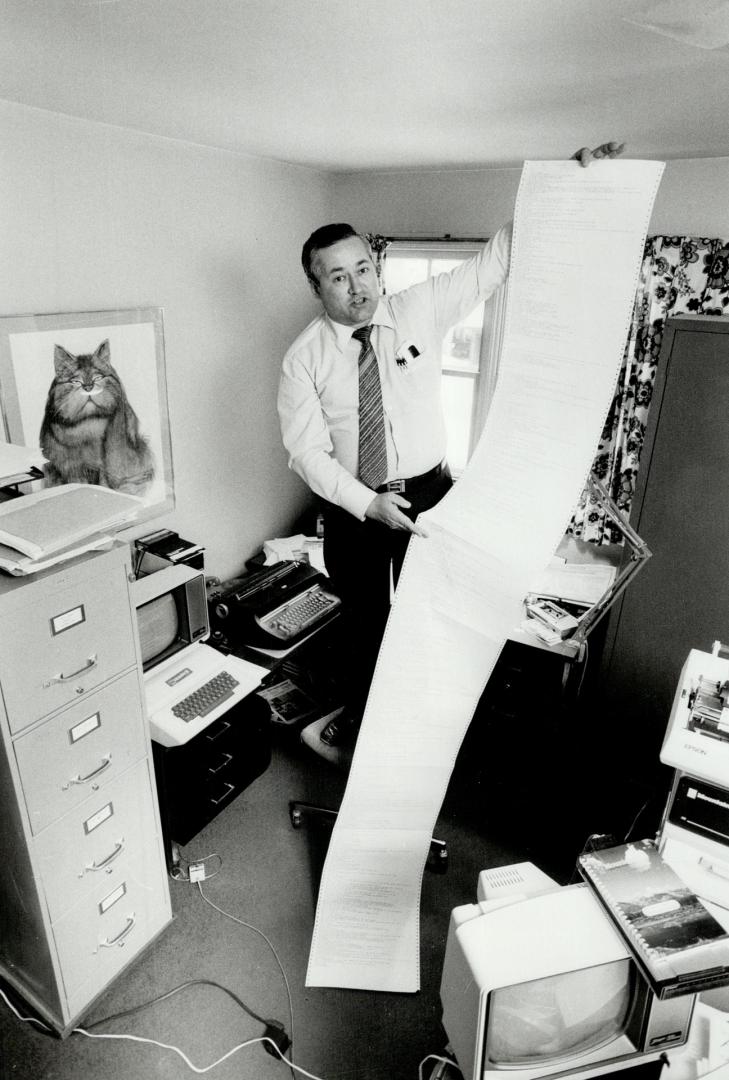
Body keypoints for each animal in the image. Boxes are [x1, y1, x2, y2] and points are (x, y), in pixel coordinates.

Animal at [39, 336, 156, 496]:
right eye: (76, 381)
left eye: (98, 377)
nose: (88, 387)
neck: (87, 424)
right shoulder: (68, 467)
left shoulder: (103, 464)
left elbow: (106, 481)